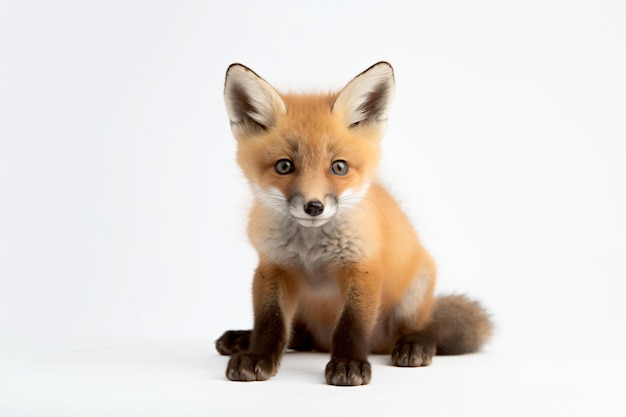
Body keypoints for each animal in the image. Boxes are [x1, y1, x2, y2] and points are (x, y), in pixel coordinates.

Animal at [216, 62, 492, 386]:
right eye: (284, 166)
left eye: (339, 167)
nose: (314, 207)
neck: (312, 251)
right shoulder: (272, 268)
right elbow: (270, 323)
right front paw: (258, 355)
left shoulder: (364, 267)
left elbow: (352, 325)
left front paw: (349, 363)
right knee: (299, 335)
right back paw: (243, 338)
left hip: (416, 292)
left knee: (427, 329)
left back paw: (415, 345)